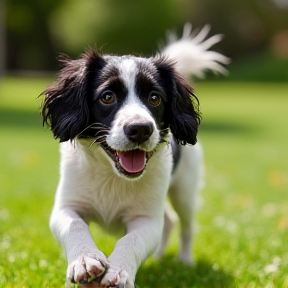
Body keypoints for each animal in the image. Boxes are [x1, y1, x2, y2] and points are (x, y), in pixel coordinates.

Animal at [41, 23, 230, 286]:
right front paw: (85, 259)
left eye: (155, 98)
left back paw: (185, 261)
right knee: (170, 220)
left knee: (185, 225)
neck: (112, 176)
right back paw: (159, 257)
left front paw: (119, 271)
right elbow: (75, 225)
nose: (140, 129)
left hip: (184, 190)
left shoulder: (146, 219)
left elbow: (131, 240)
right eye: (107, 96)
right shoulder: (66, 206)